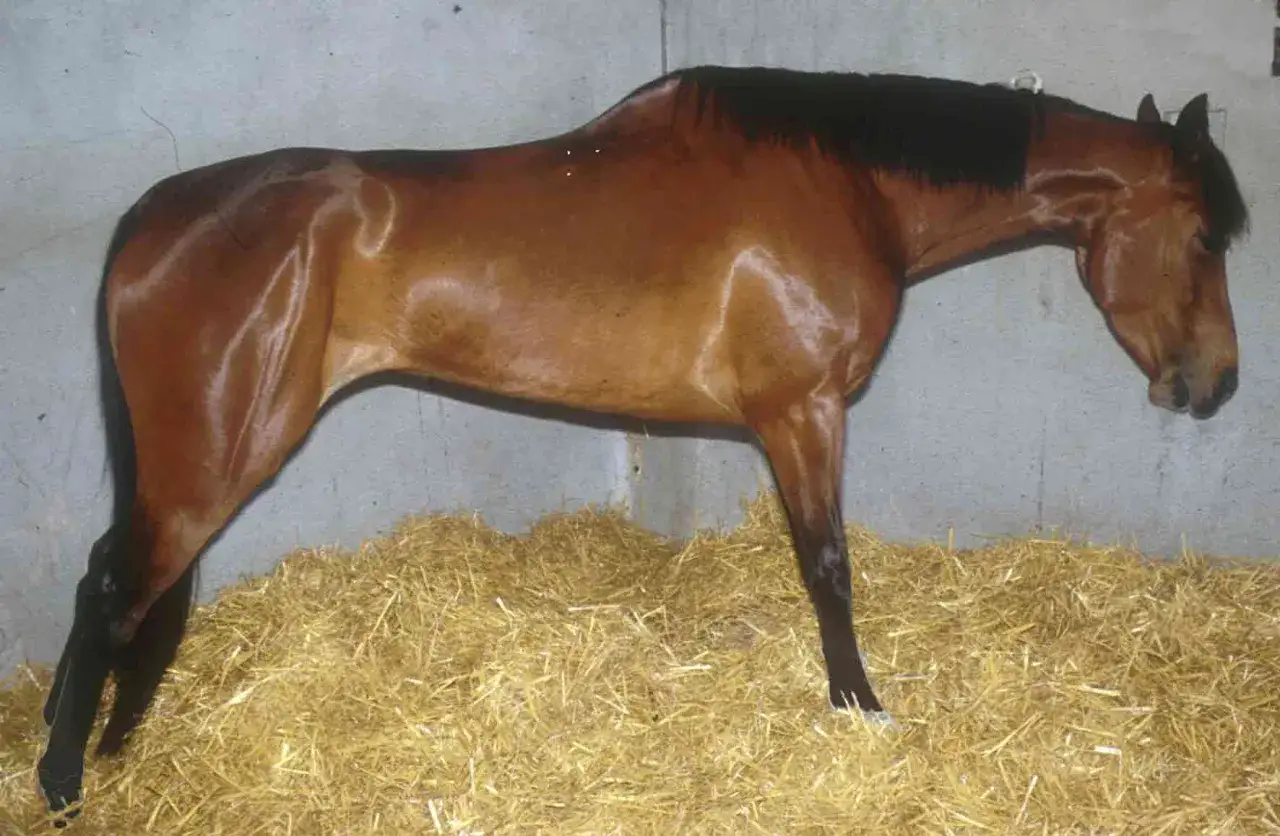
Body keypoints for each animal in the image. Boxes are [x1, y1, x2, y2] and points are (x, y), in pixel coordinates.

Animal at [36, 65, 1248, 822]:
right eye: (1202, 235)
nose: (1218, 384)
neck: (846, 183)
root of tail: (156, 217)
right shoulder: (803, 412)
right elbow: (828, 568)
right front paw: (860, 708)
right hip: (211, 459)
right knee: (114, 590)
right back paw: (58, 782)